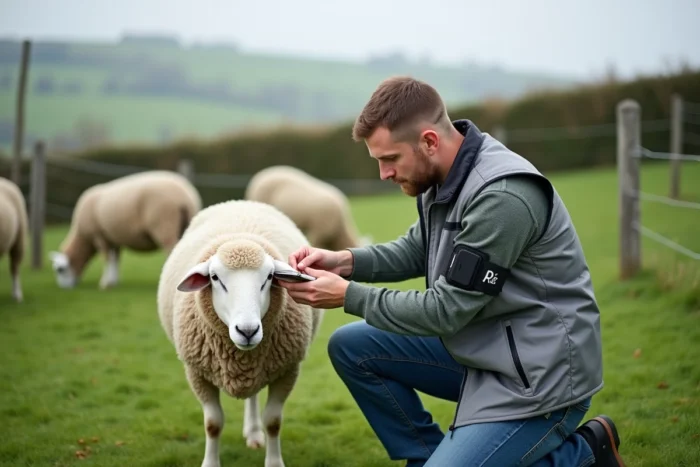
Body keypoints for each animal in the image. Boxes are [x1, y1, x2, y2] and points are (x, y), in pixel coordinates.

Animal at [49, 170, 201, 290]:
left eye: (60, 270)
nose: (64, 288)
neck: (84, 240)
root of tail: (185, 196)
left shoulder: (99, 236)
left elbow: (107, 258)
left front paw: (105, 283)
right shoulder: (113, 239)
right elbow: (116, 258)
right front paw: (114, 281)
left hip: (165, 226)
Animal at [157, 199, 324, 467]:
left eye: (269, 277)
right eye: (214, 277)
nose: (247, 331)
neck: (239, 357)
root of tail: (241, 202)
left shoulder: (287, 370)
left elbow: (273, 422)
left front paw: (274, 462)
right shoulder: (197, 373)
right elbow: (213, 424)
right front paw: (210, 463)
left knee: (253, 397)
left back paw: (254, 433)